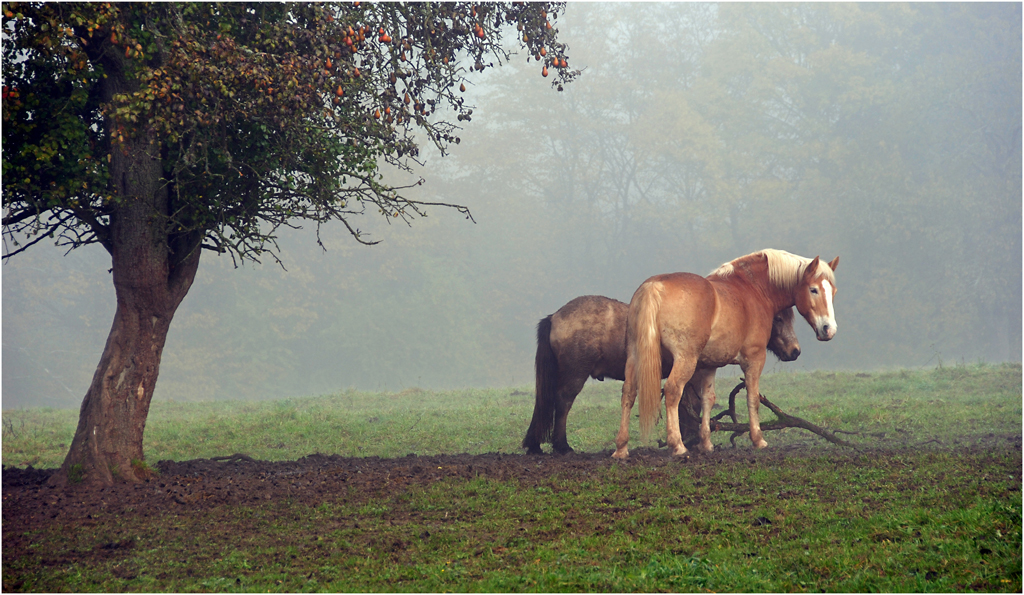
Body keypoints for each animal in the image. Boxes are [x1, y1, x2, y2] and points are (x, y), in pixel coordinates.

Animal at [524, 292, 802, 454]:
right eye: (778, 319)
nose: (795, 351)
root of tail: (556, 316)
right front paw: (687, 441)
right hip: (575, 375)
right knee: (563, 403)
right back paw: (562, 446)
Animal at [606, 247, 839, 456]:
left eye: (833, 292)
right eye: (813, 289)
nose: (829, 329)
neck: (752, 290)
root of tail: (654, 286)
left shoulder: (709, 365)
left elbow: (708, 399)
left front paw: (706, 443)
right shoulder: (754, 359)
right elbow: (753, 398)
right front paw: (758, 439)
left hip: (635, 357)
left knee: (628, 393)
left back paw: (621, 448)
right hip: (684, 360)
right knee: (672, 391)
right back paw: (678, 445)